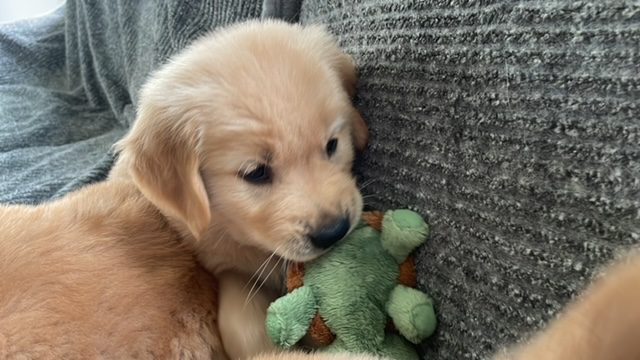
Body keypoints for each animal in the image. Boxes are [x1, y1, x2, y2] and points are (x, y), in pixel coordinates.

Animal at [1, 20, 364, 360]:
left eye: (333, 145)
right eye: (256, 173)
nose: (334, 231)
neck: (234, 231)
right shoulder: (221, 265)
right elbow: (237, 324)